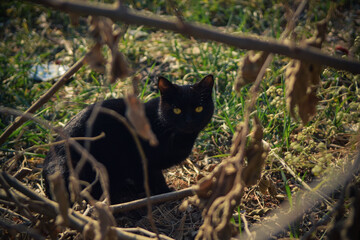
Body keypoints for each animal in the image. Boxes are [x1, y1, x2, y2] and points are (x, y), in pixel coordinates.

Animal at [43, 74, 215, 202]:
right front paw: (164, 192)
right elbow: (153, 178)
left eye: (199, 108)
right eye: (177, 110)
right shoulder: (140, 159)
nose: (189, 121)